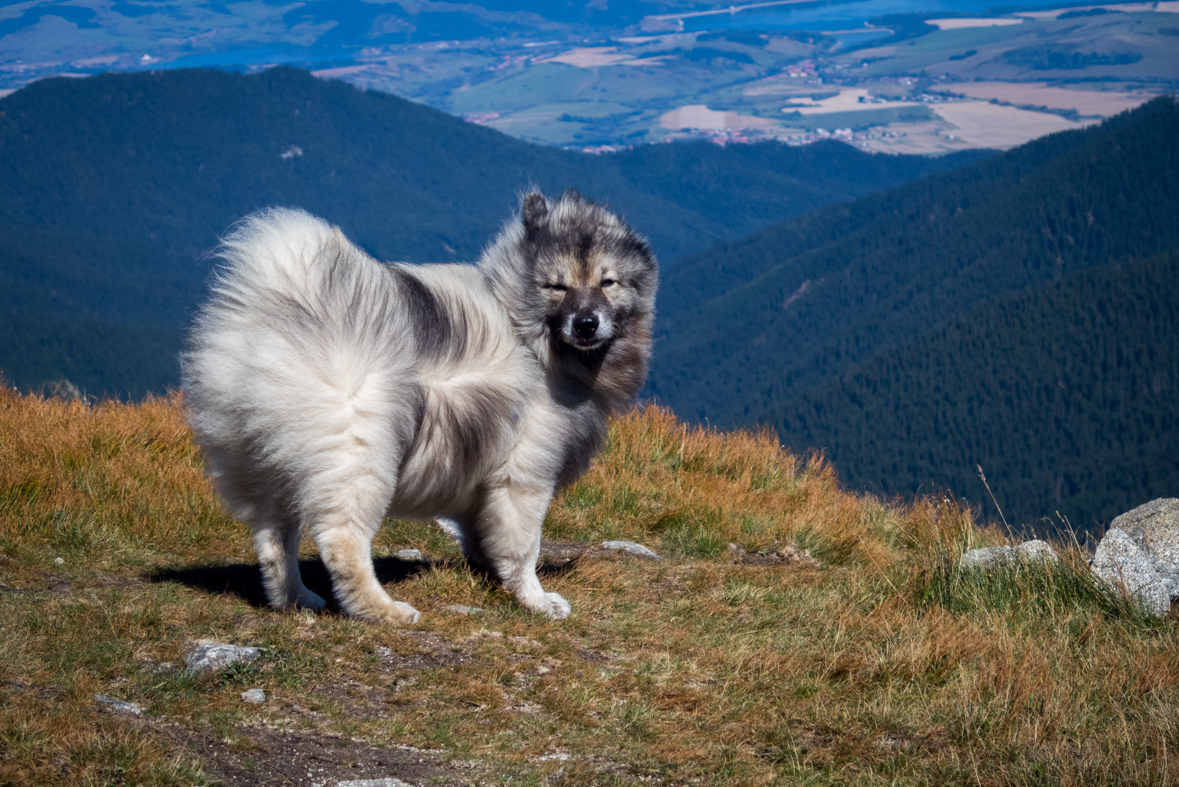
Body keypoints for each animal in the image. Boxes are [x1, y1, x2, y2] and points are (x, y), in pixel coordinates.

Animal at [185, 188, 664, 622]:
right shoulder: (524, 475)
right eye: (557, 286)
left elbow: (482, 531)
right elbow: (523, 545)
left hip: (265, 463)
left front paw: (488, 571)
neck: (531, 338)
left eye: (608, 282)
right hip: (360, 459)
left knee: (274, 539)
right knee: (342, 542)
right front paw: (535, 599)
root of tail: (265, 319)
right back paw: (382, 610)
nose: (585, 324)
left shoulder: (481, 477)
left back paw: (294, 599)